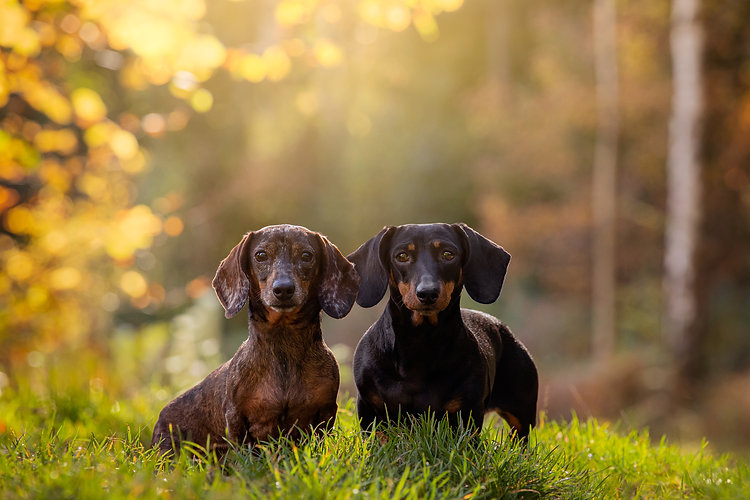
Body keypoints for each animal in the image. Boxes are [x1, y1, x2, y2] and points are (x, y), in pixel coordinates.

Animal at [151, 225, 362, 456]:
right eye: (260, 255)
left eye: (307, 255)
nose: (283, 289)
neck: (283, 343)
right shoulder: (235, 415)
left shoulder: (326, 411)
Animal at [350, 223, 536, 438]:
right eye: (402, 256)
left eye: (448, 254)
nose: (427, 293)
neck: (421, 342)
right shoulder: (369, 409)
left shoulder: (467, 414)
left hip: (522, 414)